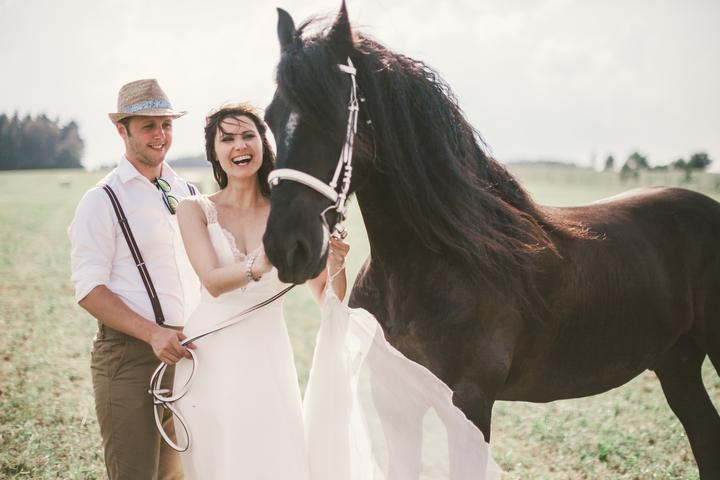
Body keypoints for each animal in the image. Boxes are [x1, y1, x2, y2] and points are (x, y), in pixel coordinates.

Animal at [261, 3, 720, 477]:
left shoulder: (470, 406)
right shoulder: (396, 406)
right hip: (677, 361)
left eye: (334, 116)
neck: (434, 266)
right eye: (271, 117)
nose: (287, 247)